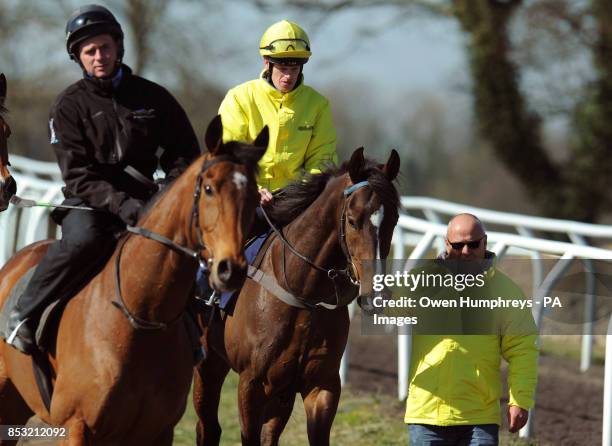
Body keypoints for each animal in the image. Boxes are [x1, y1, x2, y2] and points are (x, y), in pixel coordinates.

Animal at [0, 116, 268, 444]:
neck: (139, 314)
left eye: (254, 195)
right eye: (208, 188)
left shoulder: (158, 430)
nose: (231, 269)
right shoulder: (76, 426)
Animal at [194, 147, 400, 446]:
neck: (302, 293)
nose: (376, 296)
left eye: (393, 220)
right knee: (207, 427)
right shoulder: (251, 384)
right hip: (208, 361)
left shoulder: (321, 384)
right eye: (352, 220)